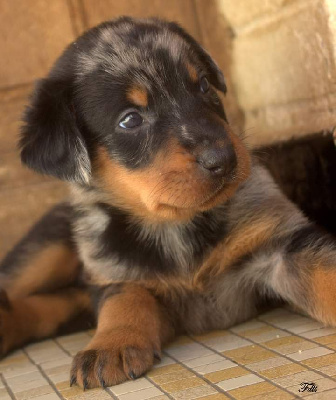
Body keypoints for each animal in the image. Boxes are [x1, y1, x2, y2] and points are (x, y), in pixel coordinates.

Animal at [0, 17, 336, 390]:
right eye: (130, 119)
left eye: (202, 85)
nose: (223, 159)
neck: (176, 227)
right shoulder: (114, 273)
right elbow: (124, 300)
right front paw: (111, 344)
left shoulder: (282, 245)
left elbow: (327, 272)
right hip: (43, 251)